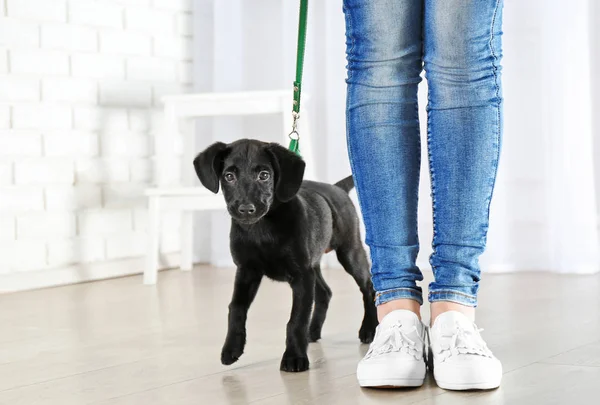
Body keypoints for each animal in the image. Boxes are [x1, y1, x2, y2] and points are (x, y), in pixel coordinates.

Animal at [195, 140, 378, 372]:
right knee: (325, 292)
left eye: (264, 175)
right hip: (313, 263)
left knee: (368, 287)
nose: (246, 209)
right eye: (229, 176)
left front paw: (294, 357)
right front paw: (231, 348)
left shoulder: (301, 276)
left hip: (349, 252)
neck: (261, 230)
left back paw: (369, 328)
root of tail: (337, 188)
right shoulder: (246, 271)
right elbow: (236, 308)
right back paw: (313, 331)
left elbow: (296, 319)